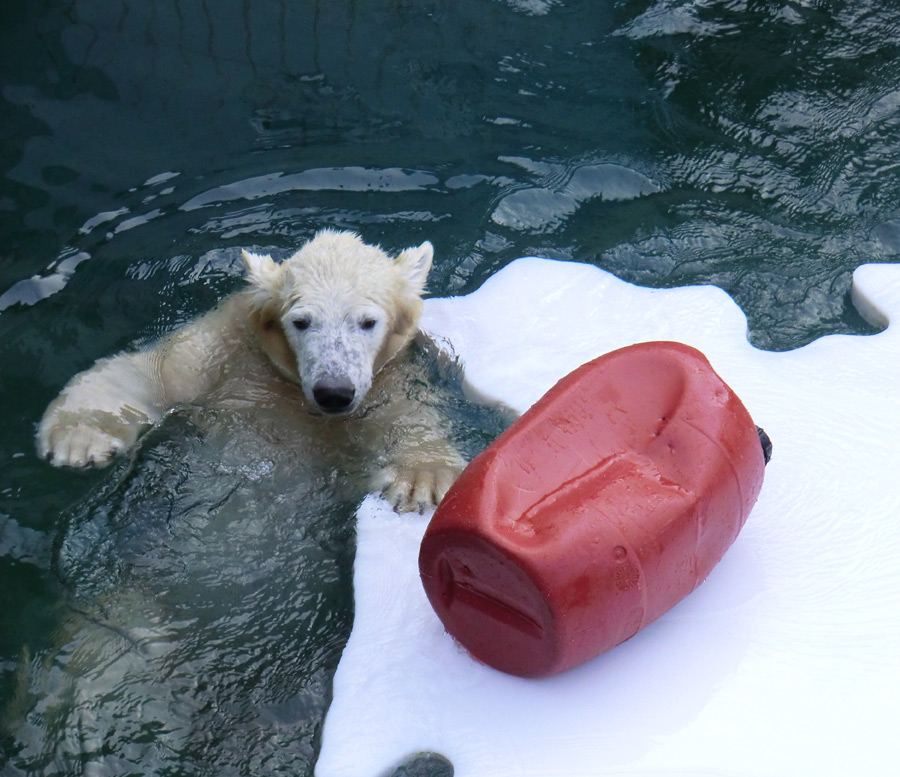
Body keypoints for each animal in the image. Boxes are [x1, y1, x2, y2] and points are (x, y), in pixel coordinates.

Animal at [35, 227, 464, 512]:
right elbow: (156, 371)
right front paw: (79, 440)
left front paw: (422, 481)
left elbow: (405, 418)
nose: (333, 392)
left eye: (368, 322)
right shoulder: (226, 351)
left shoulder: (390, 380)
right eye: (301, 321)